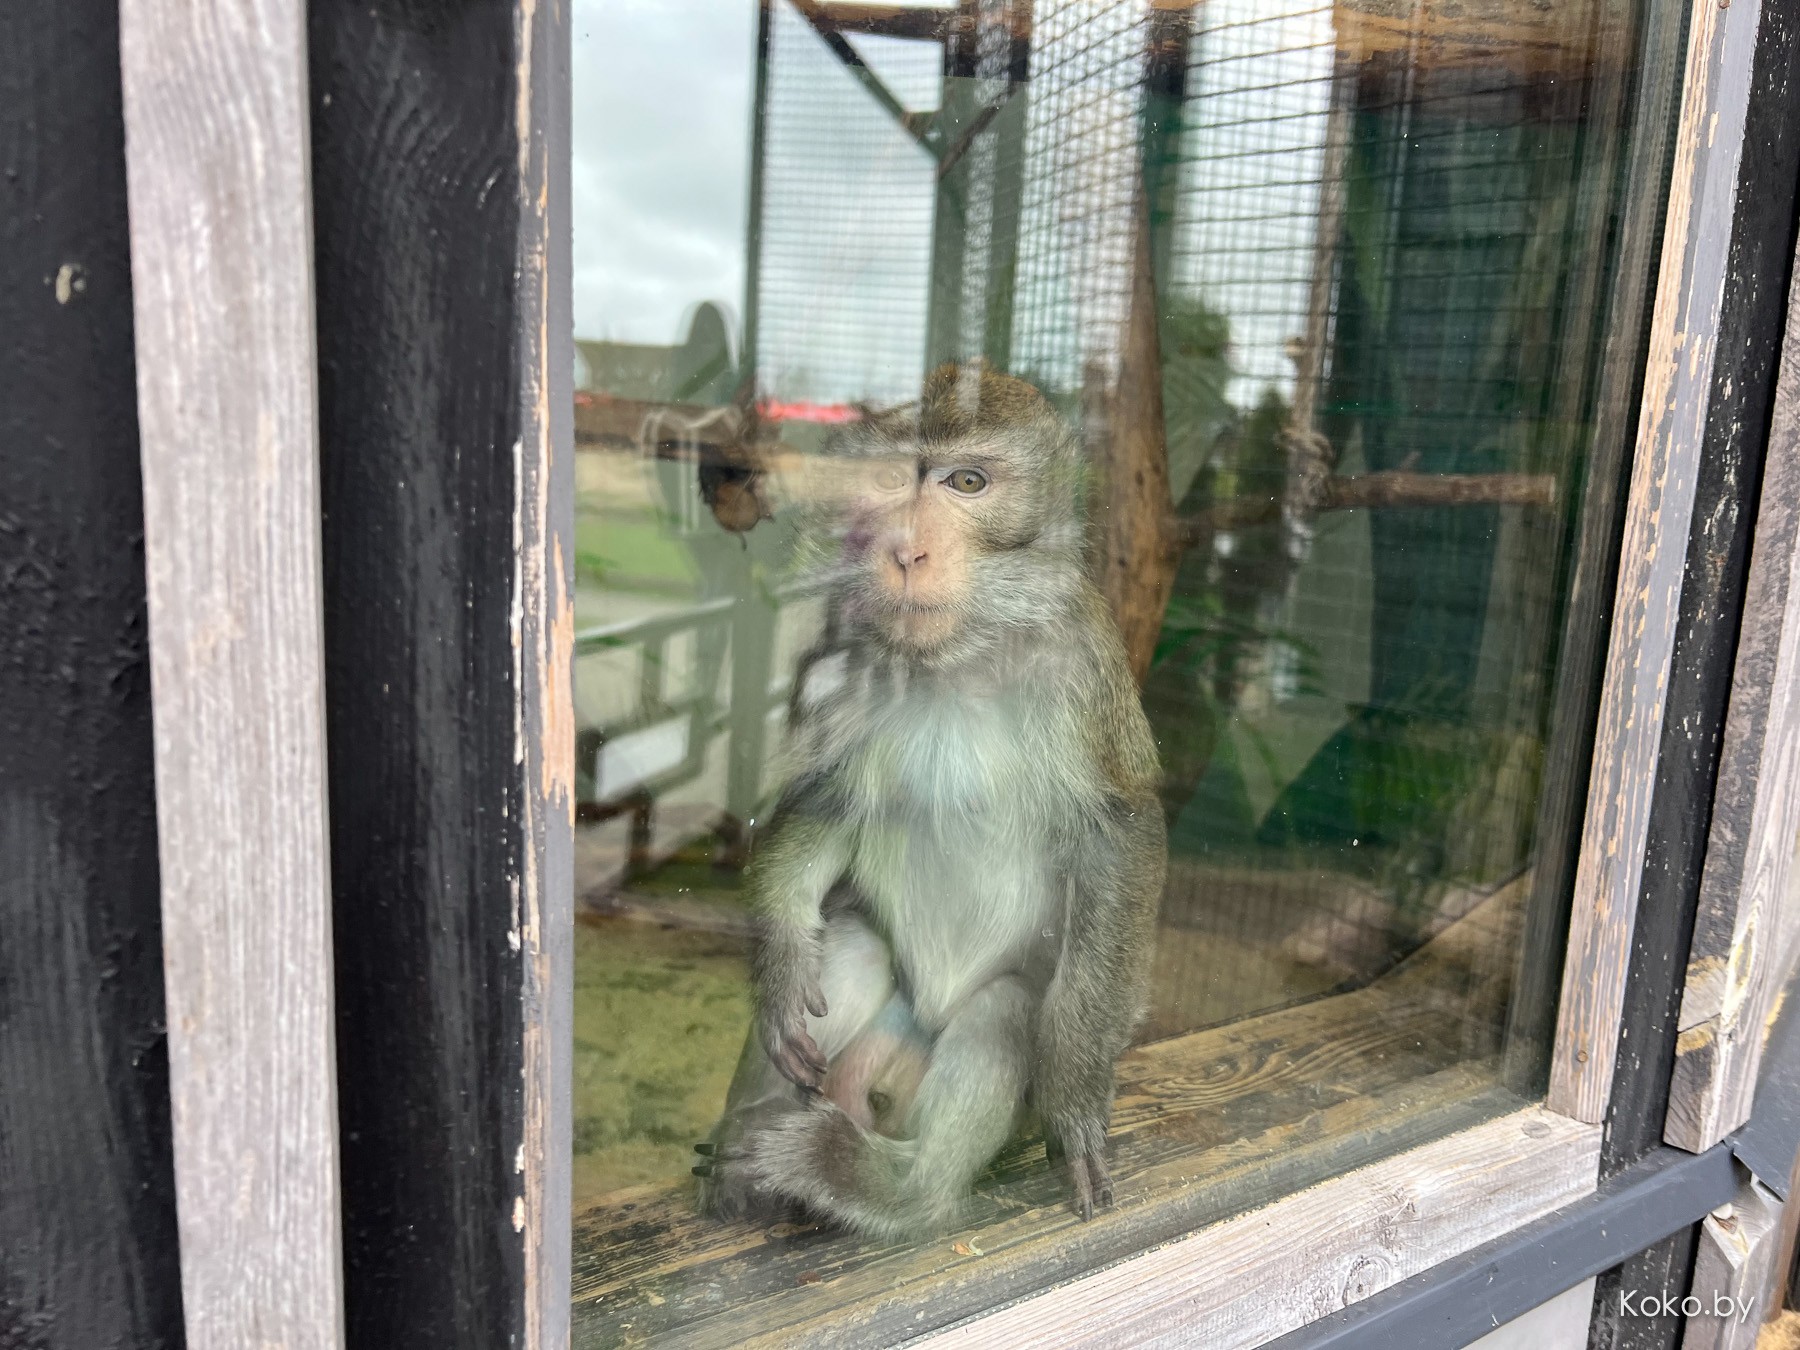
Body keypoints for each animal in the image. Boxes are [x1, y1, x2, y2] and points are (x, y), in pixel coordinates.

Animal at [687, 365, 1166, 1245]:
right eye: (886, 481)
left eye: (966, 483)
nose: (905, 549)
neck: (958, 657)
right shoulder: (842, 651)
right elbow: (830, 795)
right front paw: (778, 963)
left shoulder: (1081, 660)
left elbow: (1121, 831)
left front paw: (1077, 1100)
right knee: (852, 943)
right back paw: (750, 1164)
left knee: (1002, 1014)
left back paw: (885, 1188)